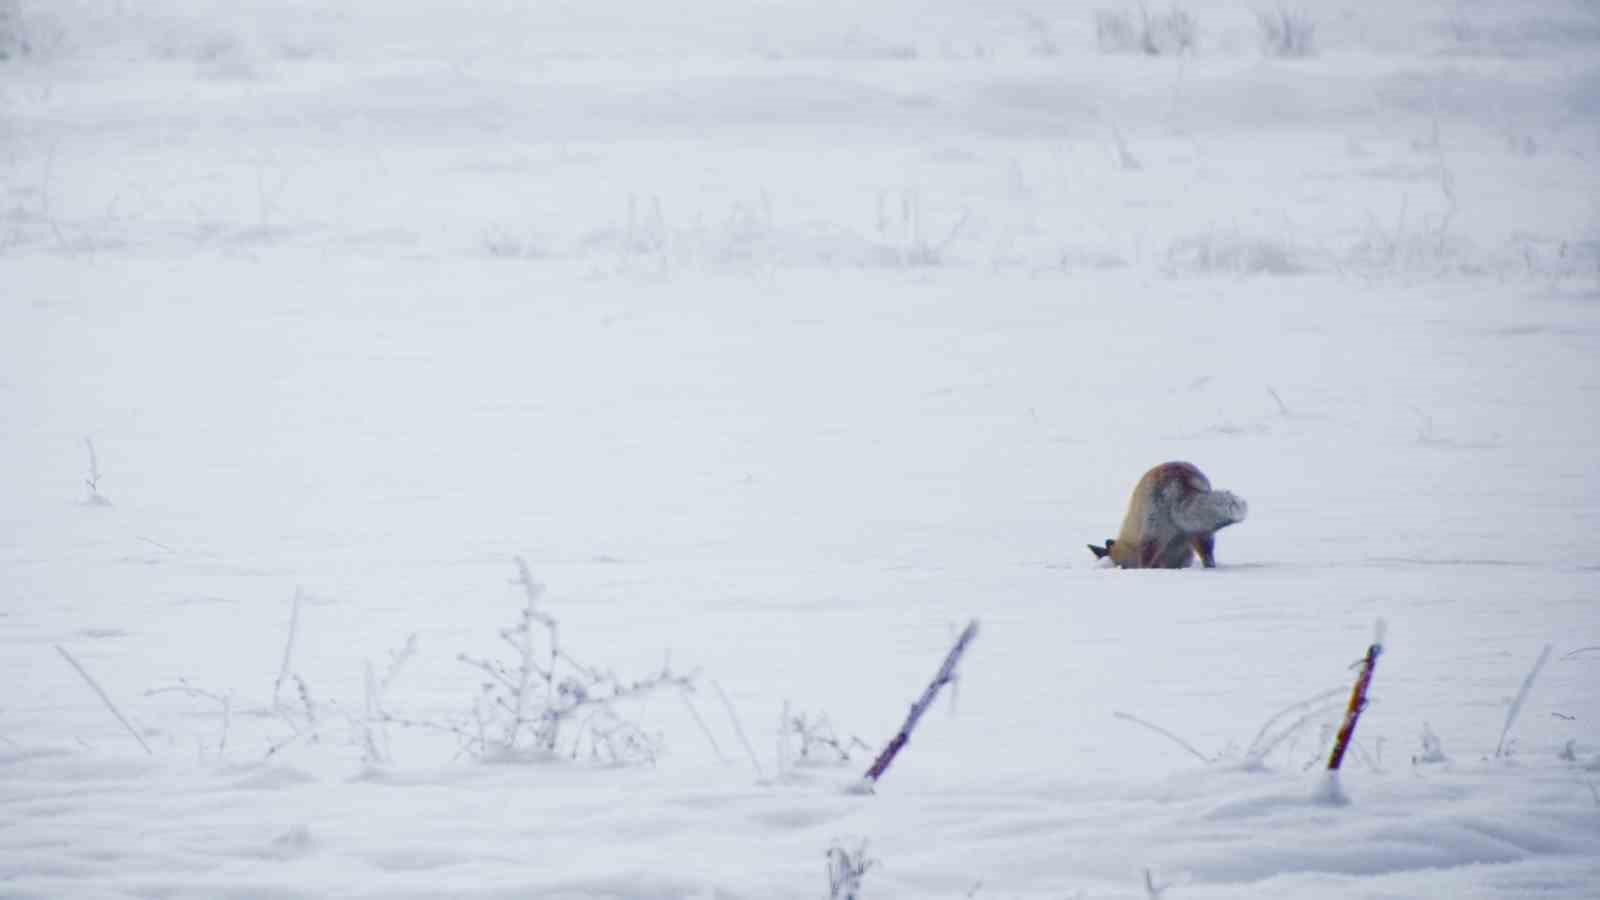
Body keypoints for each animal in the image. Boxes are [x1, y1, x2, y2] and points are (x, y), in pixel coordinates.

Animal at [1088, 461, 1248, 566]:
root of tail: (1179, 475)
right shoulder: (1183, 554)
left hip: (1153, 534)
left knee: (1146, 562)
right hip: (1202, 534)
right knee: (1208, 558)